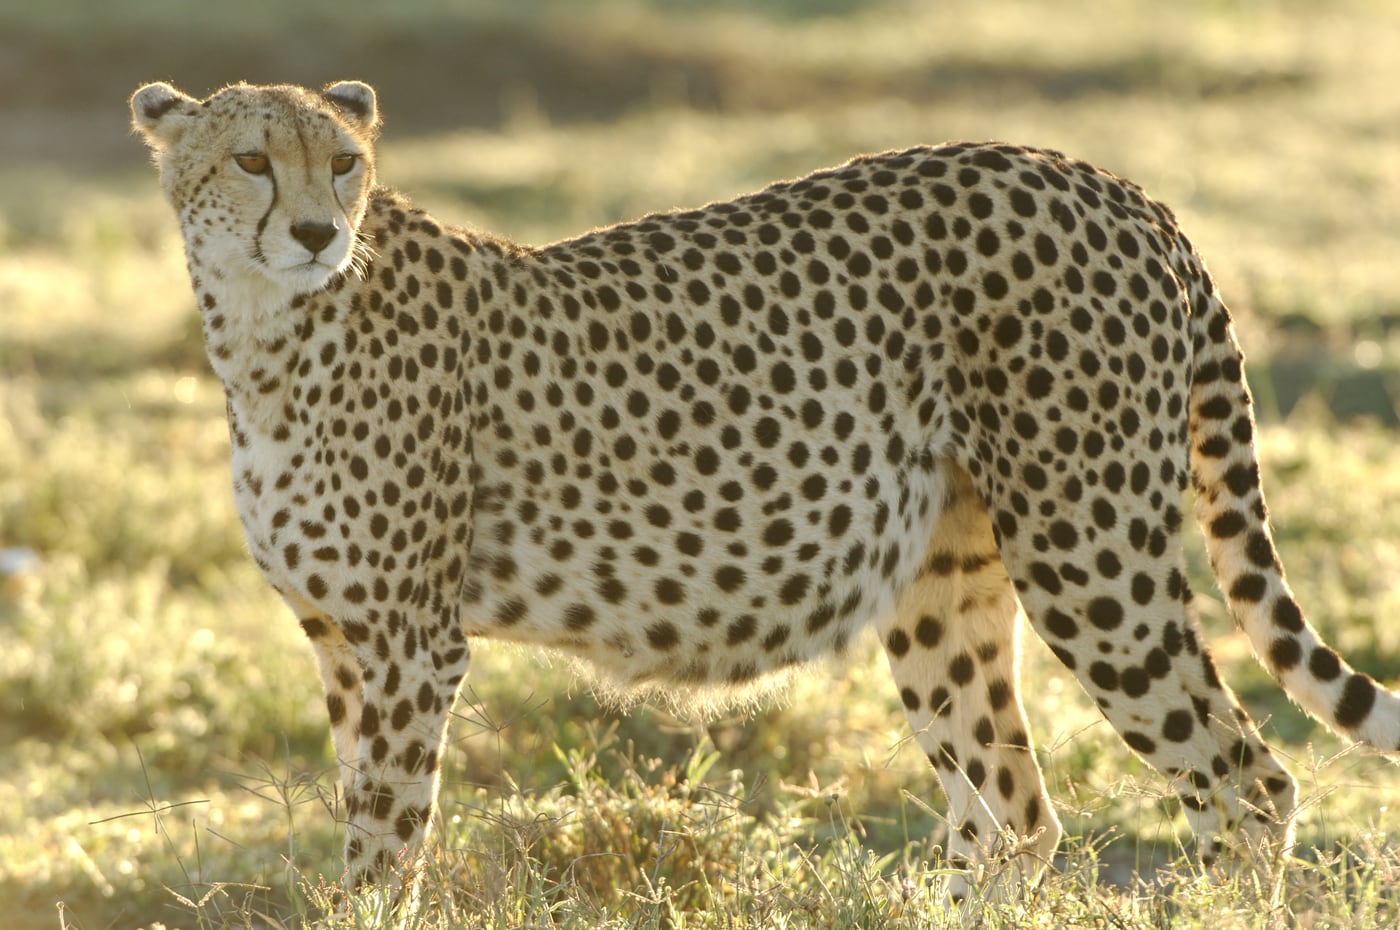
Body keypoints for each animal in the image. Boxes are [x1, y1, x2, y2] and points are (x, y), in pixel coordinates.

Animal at [130, 78, 1400, 904]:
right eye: (252, 159)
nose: (313, 230)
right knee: (1011, 816)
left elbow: (382, 849)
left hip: (1088, 556)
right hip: (942, 585)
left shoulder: (409, 645)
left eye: (343, 162)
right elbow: (363, 821)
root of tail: (1114, 184)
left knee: (1244, 784)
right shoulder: (344, 642)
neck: (266, 335)